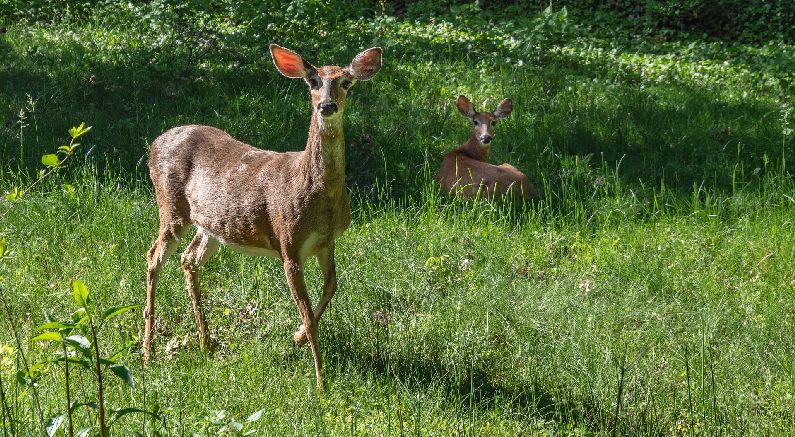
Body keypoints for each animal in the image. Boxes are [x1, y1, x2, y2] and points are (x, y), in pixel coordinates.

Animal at [145, 43, 384, 388]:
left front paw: (296, 339)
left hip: (212, 224)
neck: (317, 194)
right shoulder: (288, 241)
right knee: (154, 257)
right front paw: (321, 382)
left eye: (346, 82)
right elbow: (307, 311)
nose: (326, 105)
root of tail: (154, 143)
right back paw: (148, 351)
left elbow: (331, 287)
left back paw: (206, 343)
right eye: (312, 81)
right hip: (171, 206)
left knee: (188, 259)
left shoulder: (326, 242)